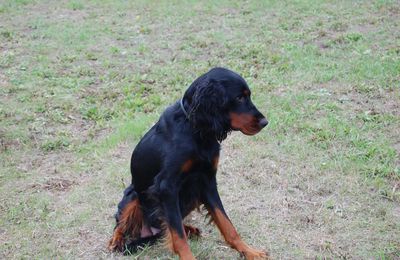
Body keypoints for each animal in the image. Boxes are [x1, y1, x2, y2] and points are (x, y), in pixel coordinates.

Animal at [109, 68, 270, 258]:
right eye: (239, 97)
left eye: (248, 95)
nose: (265, 122)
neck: (195, 129)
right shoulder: (166, 187)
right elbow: (178, 236)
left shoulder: (207, 181)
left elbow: (226, 223)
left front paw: (249, 251)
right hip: (132, 195)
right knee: (121, 223)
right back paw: (116, 240)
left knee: (168, 225)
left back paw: (189, 229)